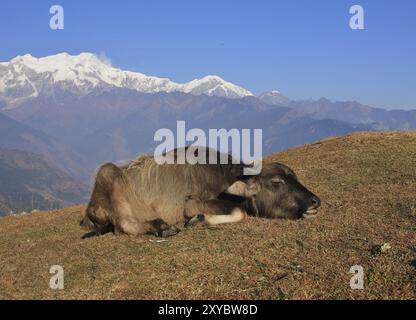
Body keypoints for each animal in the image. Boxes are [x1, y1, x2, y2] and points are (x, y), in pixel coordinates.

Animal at [81, 148, 322, 238]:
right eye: (277, 182)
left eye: (295, 178)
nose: (315, 201)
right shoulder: (192, 202)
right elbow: (239, 212)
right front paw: (199, 220)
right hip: (107, 173)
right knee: (123, 226)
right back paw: (163, 227)